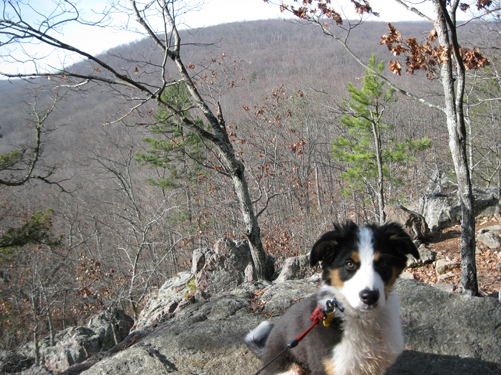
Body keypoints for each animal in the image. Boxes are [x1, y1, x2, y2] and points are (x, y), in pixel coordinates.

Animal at [244, 222, 416, 375]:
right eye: (349, 264)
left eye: (383, 264)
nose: (369, 297)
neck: (363, 319)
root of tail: (266, 351)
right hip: (290, 369)